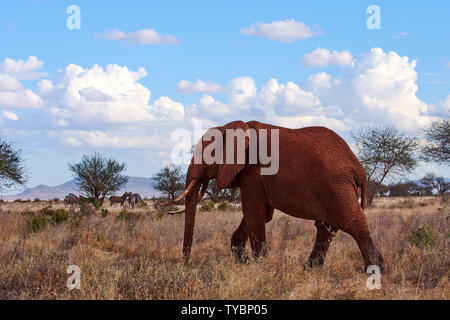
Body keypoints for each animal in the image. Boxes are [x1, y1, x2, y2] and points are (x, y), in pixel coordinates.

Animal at [167, 120, 384, 272]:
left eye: (206, 155)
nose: (185, 264)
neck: (229, 127)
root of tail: (359, 168)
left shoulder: (253, 171)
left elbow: (254, 214)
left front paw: (259, 267)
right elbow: (262, 216)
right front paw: (244, 262)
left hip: (337, 185)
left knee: (353, 222)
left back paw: (374, 271)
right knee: (326, 227)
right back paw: (309, 269)